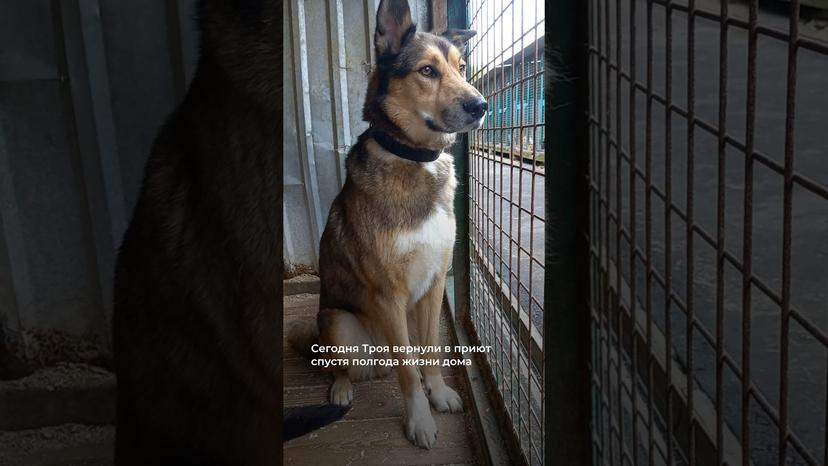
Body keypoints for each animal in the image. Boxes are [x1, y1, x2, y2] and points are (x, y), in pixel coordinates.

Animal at [290, 0, 486, 450]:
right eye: (427, 71)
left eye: (461, 67)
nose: (481, 106)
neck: (415, 159)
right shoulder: (388, 293)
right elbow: (408, 372)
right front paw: (420, 421)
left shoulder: (434, 284)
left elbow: (429, 352)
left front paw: (440, 393)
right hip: (338, 323)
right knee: (341, 365)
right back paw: (341, 389)